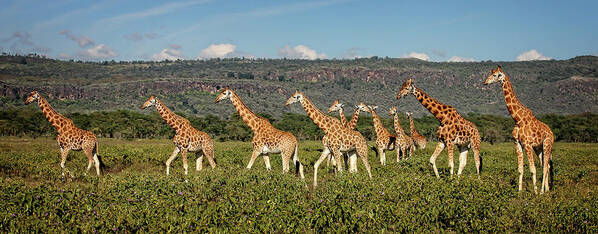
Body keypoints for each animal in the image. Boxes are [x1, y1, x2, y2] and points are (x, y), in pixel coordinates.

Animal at [486, 66, 556, 194]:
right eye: (491, 74)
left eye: (496, 75)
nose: (485, 82)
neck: (518, 119)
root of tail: (551, 132)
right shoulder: (517, 143)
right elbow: (520, 169)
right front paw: (519, 192)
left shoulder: (527, 144)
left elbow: (532, 169)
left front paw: (535, 193)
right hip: (538, 148)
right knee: (546, 166)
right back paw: (547, 190)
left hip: (547, 144)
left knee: (545, 167)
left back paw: (542, 192)